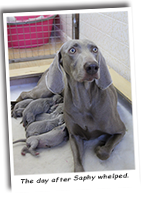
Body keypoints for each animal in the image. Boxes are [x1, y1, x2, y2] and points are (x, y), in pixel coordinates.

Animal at [15, 39, 125, 172]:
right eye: (72, 50)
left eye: (95, 49)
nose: (92, 66)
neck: (85, 101)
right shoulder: (74, 136)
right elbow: (78, 164)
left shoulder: (121, 129)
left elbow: (104, 153)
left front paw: (101, 148)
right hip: (43, 91)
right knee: (24, 93)